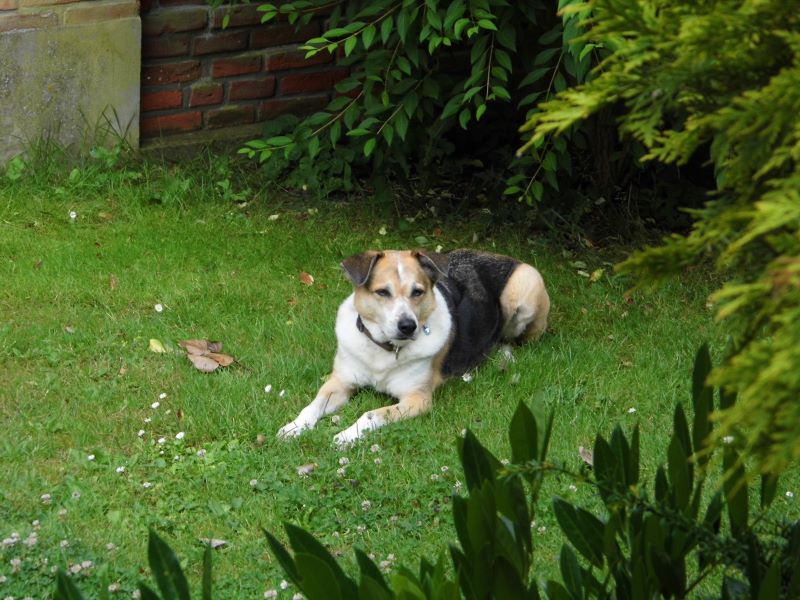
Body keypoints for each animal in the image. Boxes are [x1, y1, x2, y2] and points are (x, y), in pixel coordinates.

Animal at [276, 248, 552, 446]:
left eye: (417, 292)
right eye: (382, 292)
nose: (408, 326)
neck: (384, 351)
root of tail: (509, 257)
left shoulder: (417, 399)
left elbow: (371, 414)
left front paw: (347, 435)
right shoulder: (340, 381)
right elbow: (313, 405)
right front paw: (295, 426)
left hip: (524, 287)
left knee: (514, 339)